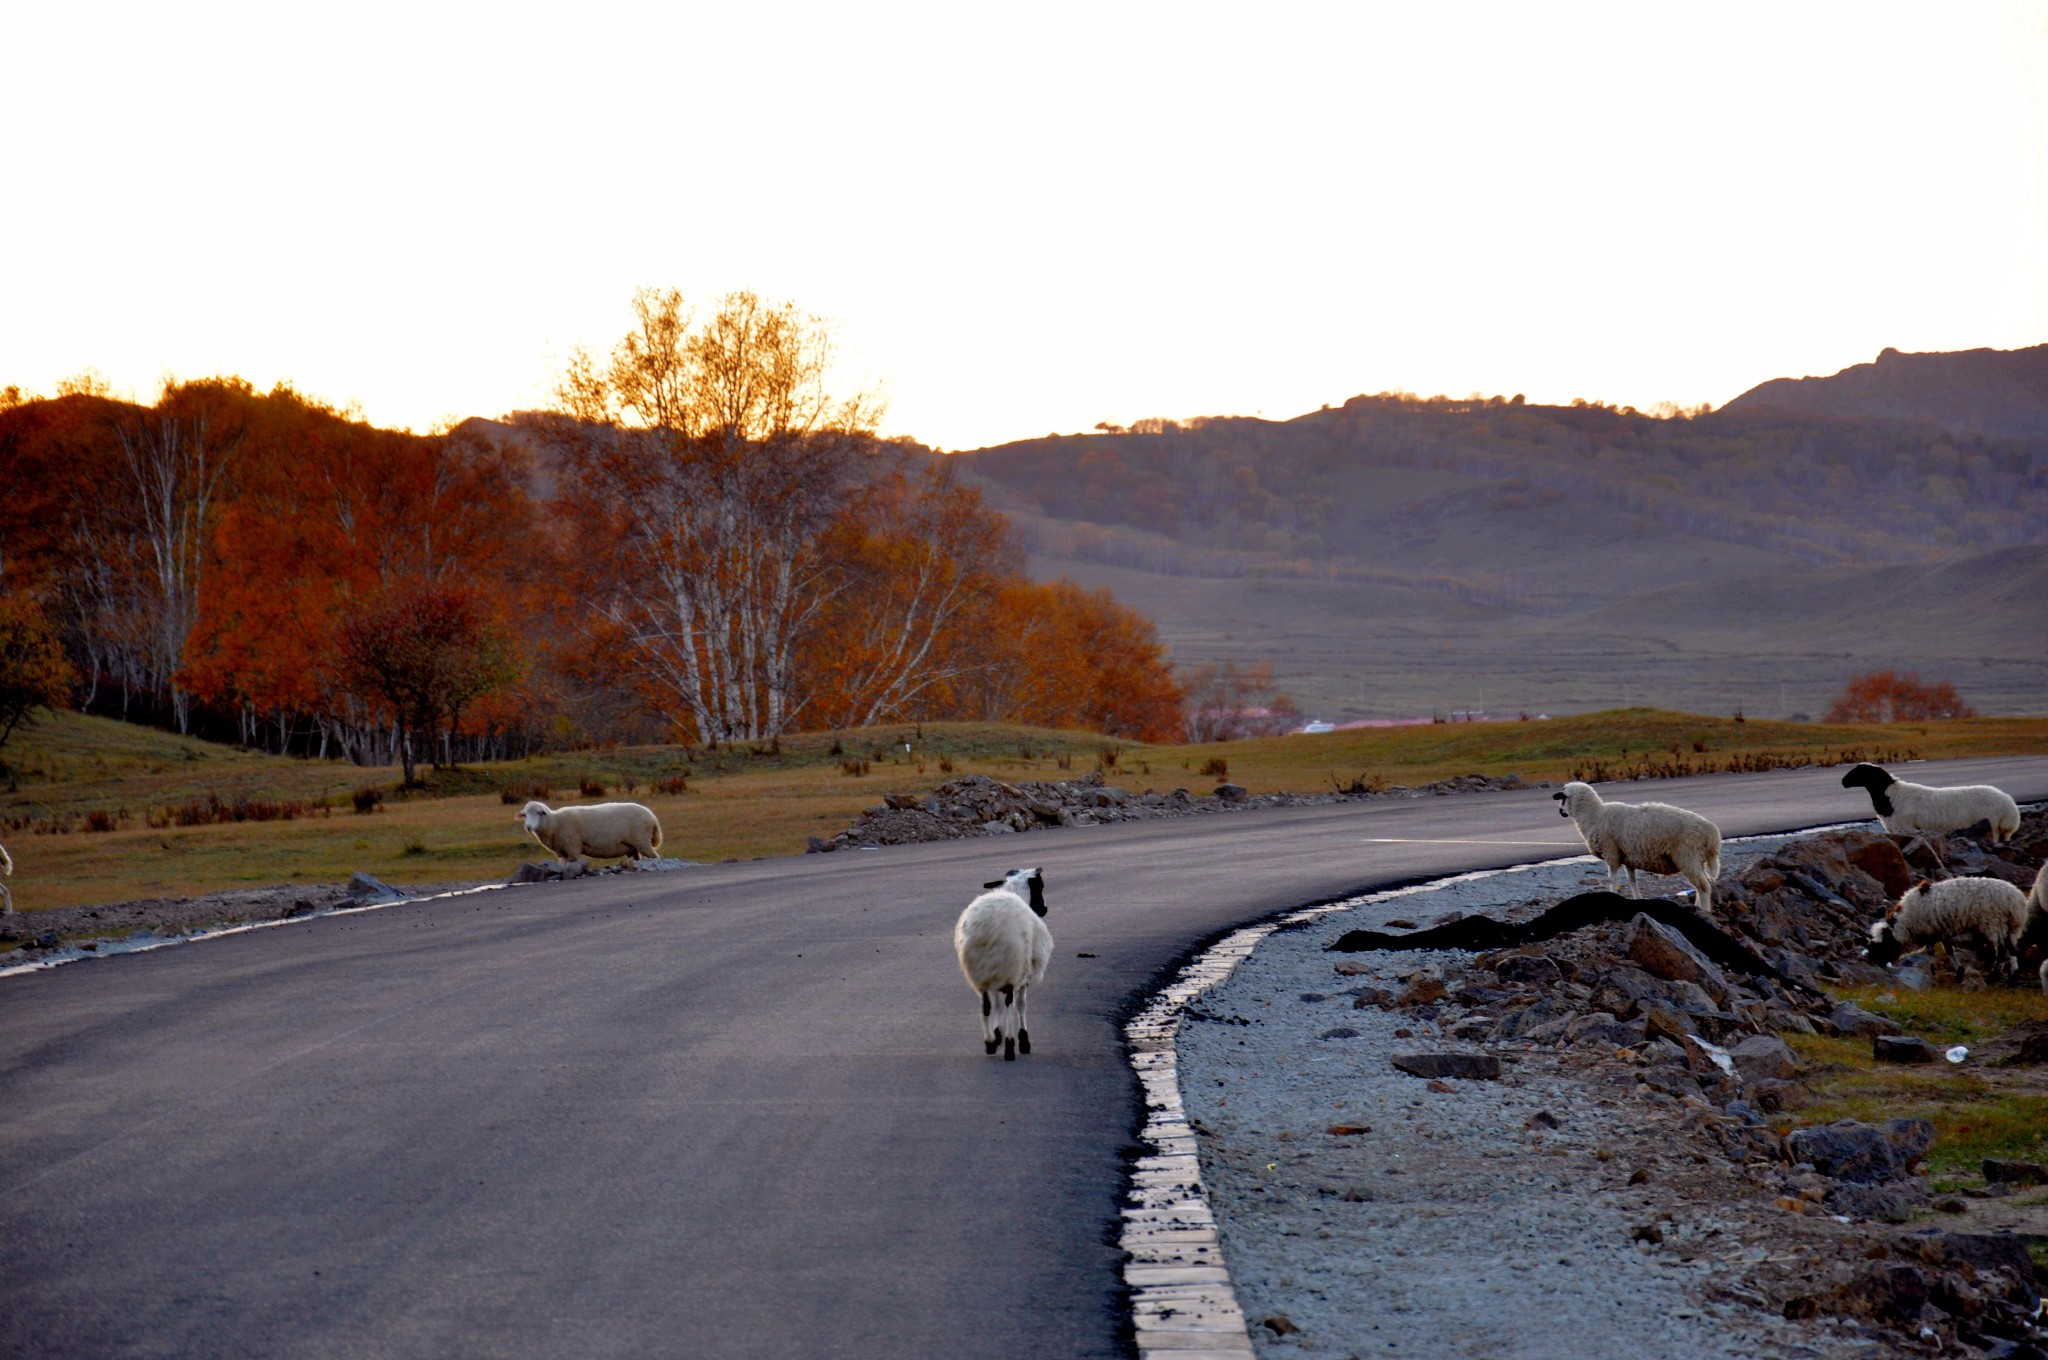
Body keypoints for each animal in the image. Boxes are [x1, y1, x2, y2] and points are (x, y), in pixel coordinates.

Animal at [516, 802, 659, 864]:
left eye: (538, 813)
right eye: (525, 814)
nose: (528, 827)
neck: (554, 822)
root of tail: (652, 817)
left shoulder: (572, 847)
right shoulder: (563, 852)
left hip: (642, 840)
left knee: (654, 856)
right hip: (633, 846)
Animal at [958, 872, 1056, 1065]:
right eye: (1039, 888)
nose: (1044, 909)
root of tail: (987, 929)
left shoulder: (994, 976)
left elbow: (996, 1006)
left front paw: (996, 1035)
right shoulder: (1021, 976)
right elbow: (1020, 1005)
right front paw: (1023, 1041)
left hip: (982, 973)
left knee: (986, 1006)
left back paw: (989, 1042)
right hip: (1011, 969)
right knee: (1010, 1004)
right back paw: (1010, 1046)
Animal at [1548, 782, 1728, 917]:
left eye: (1562, 798)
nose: (1560, 812)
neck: (1594, 815)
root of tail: (1712, 832)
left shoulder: (1611, 852)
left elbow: (1612, 879)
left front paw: (1612, 894)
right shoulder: (1628, 857)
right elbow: (1632, 880)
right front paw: (1637, 899)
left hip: (1687, 855)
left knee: (1703, 886)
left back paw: (1704, 910)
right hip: (1696, 859)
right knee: (1702, 884)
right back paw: (1697, 908)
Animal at [1843, 757, 2015, 856]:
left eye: (1860, 772)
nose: (1843, 782)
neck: (1889, 796)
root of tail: (2008, 802)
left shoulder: (1906, 827)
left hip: (1993, 826)